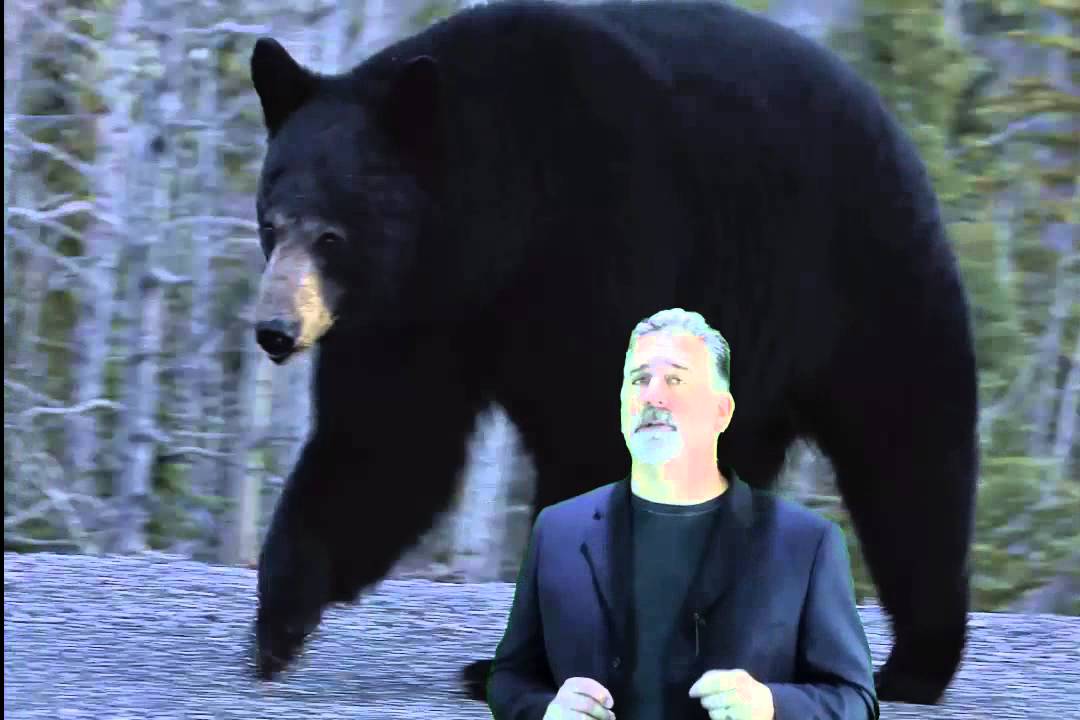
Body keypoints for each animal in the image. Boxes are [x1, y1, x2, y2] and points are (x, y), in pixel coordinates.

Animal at [246, 0, 978, 707]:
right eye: (271, 223)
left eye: (332, 235)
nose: (275, 329)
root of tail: (891, 123)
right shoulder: (415, 318)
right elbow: (386, 442)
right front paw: (278, 621)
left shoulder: (604, 244)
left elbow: (590, 441)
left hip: (860, 285)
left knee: (909, 454)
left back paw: (915, 664)